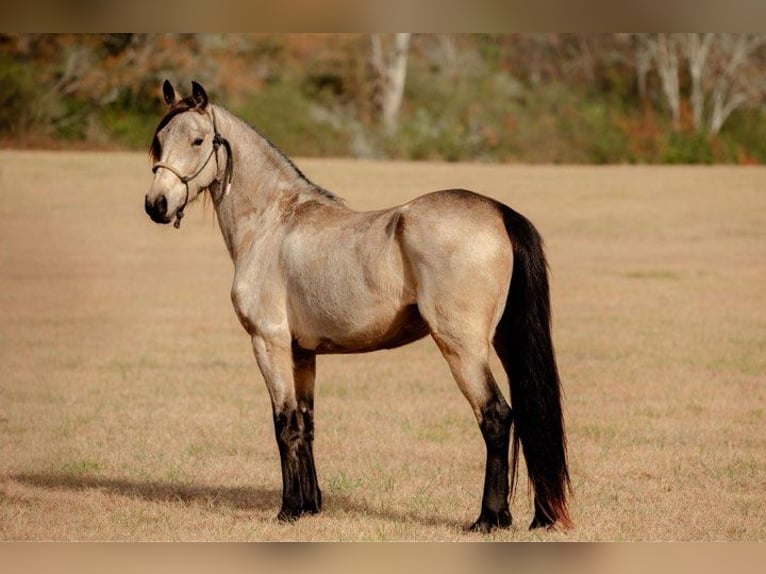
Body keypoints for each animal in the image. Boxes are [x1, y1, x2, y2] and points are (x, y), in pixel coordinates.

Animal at [147, 81, 572, 536]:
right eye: (159, 140)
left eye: (198, 140)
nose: (156, 204)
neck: (272, 223)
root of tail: (497, 211)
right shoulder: (302, 352)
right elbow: (306, 423)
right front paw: (311, 505)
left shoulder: (269, 343)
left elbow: (284, 423)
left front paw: (289, 509)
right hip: (504, 341)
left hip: (462, 347)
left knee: (495, 417)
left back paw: (489, 518)